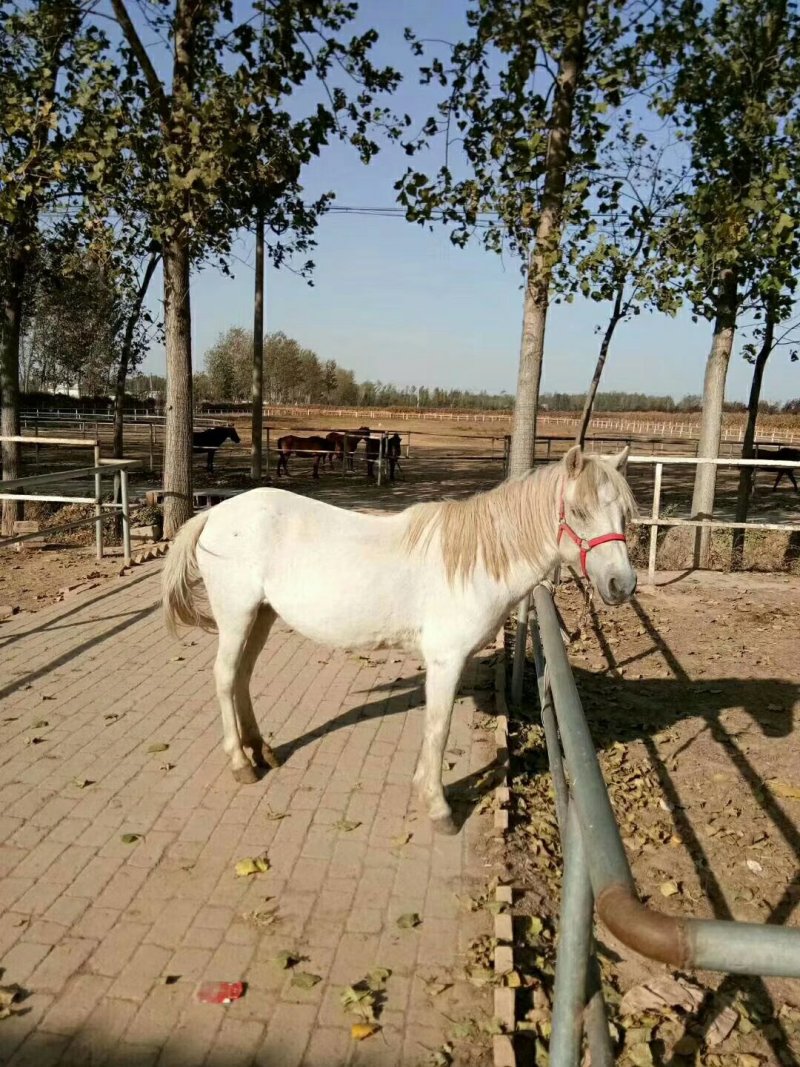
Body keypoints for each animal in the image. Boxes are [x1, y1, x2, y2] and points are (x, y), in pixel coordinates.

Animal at [163, 445, 636, 834]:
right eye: (578, 511)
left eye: (623, 515)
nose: (621, 584)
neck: (475, 559)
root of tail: (214, 515)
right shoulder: (446, 661)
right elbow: (439, 727)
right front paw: (438, 807)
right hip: (236, 615)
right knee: (226, 677)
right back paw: (241, 763)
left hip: (260, 615)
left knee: (242, 677)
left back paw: (261, 750)